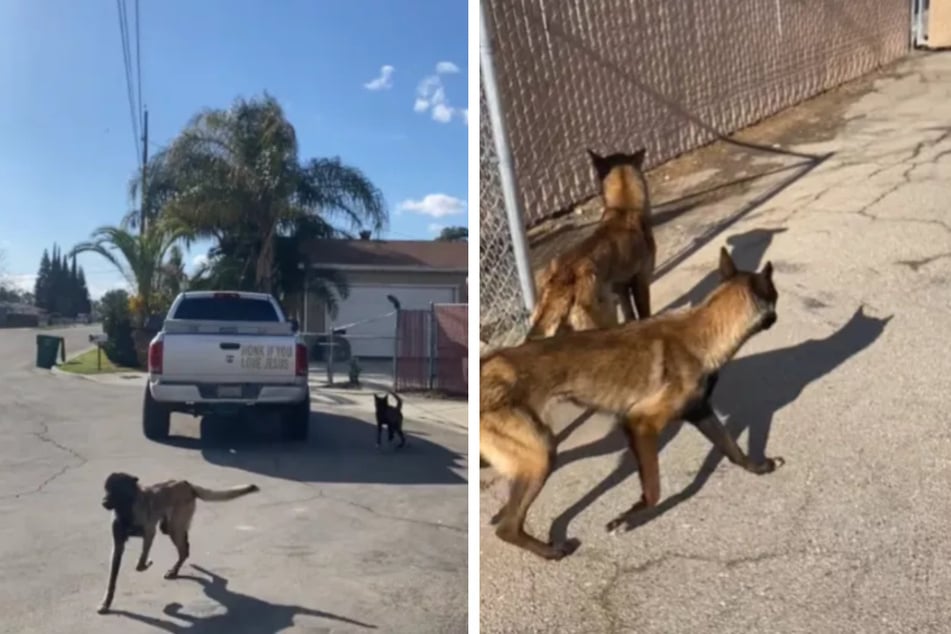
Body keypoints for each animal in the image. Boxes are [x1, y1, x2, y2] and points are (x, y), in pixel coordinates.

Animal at [98, 470, 258, 612]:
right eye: (106, 489)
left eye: (117, 490)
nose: (103, 502)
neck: (126, 509)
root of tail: (187, 484)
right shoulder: (118, 545)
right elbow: (112, 578)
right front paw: (106, 602)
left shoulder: (149, 533)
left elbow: (140, 563)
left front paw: (147, 563)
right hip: (170, 528)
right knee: (185, 546)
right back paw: (176, 569)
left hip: (174, 527)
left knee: (184, 550)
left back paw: (174, 570)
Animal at [480, 246, 784, 556]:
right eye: (775, 296)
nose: (776, 318)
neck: (704, 333)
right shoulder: (640, 424)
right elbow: (654, 490)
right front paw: (627, 518)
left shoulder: (700, 412)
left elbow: (732, 449)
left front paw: (759, 467)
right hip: (542, 453)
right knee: (508, 527)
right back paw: (550, 551)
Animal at [524, 147, 660, 340]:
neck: (623, 210)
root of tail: (562, 280)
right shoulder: (641, 281)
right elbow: (644, 314)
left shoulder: (621, 289)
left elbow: (630, 316)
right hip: (606, 315)